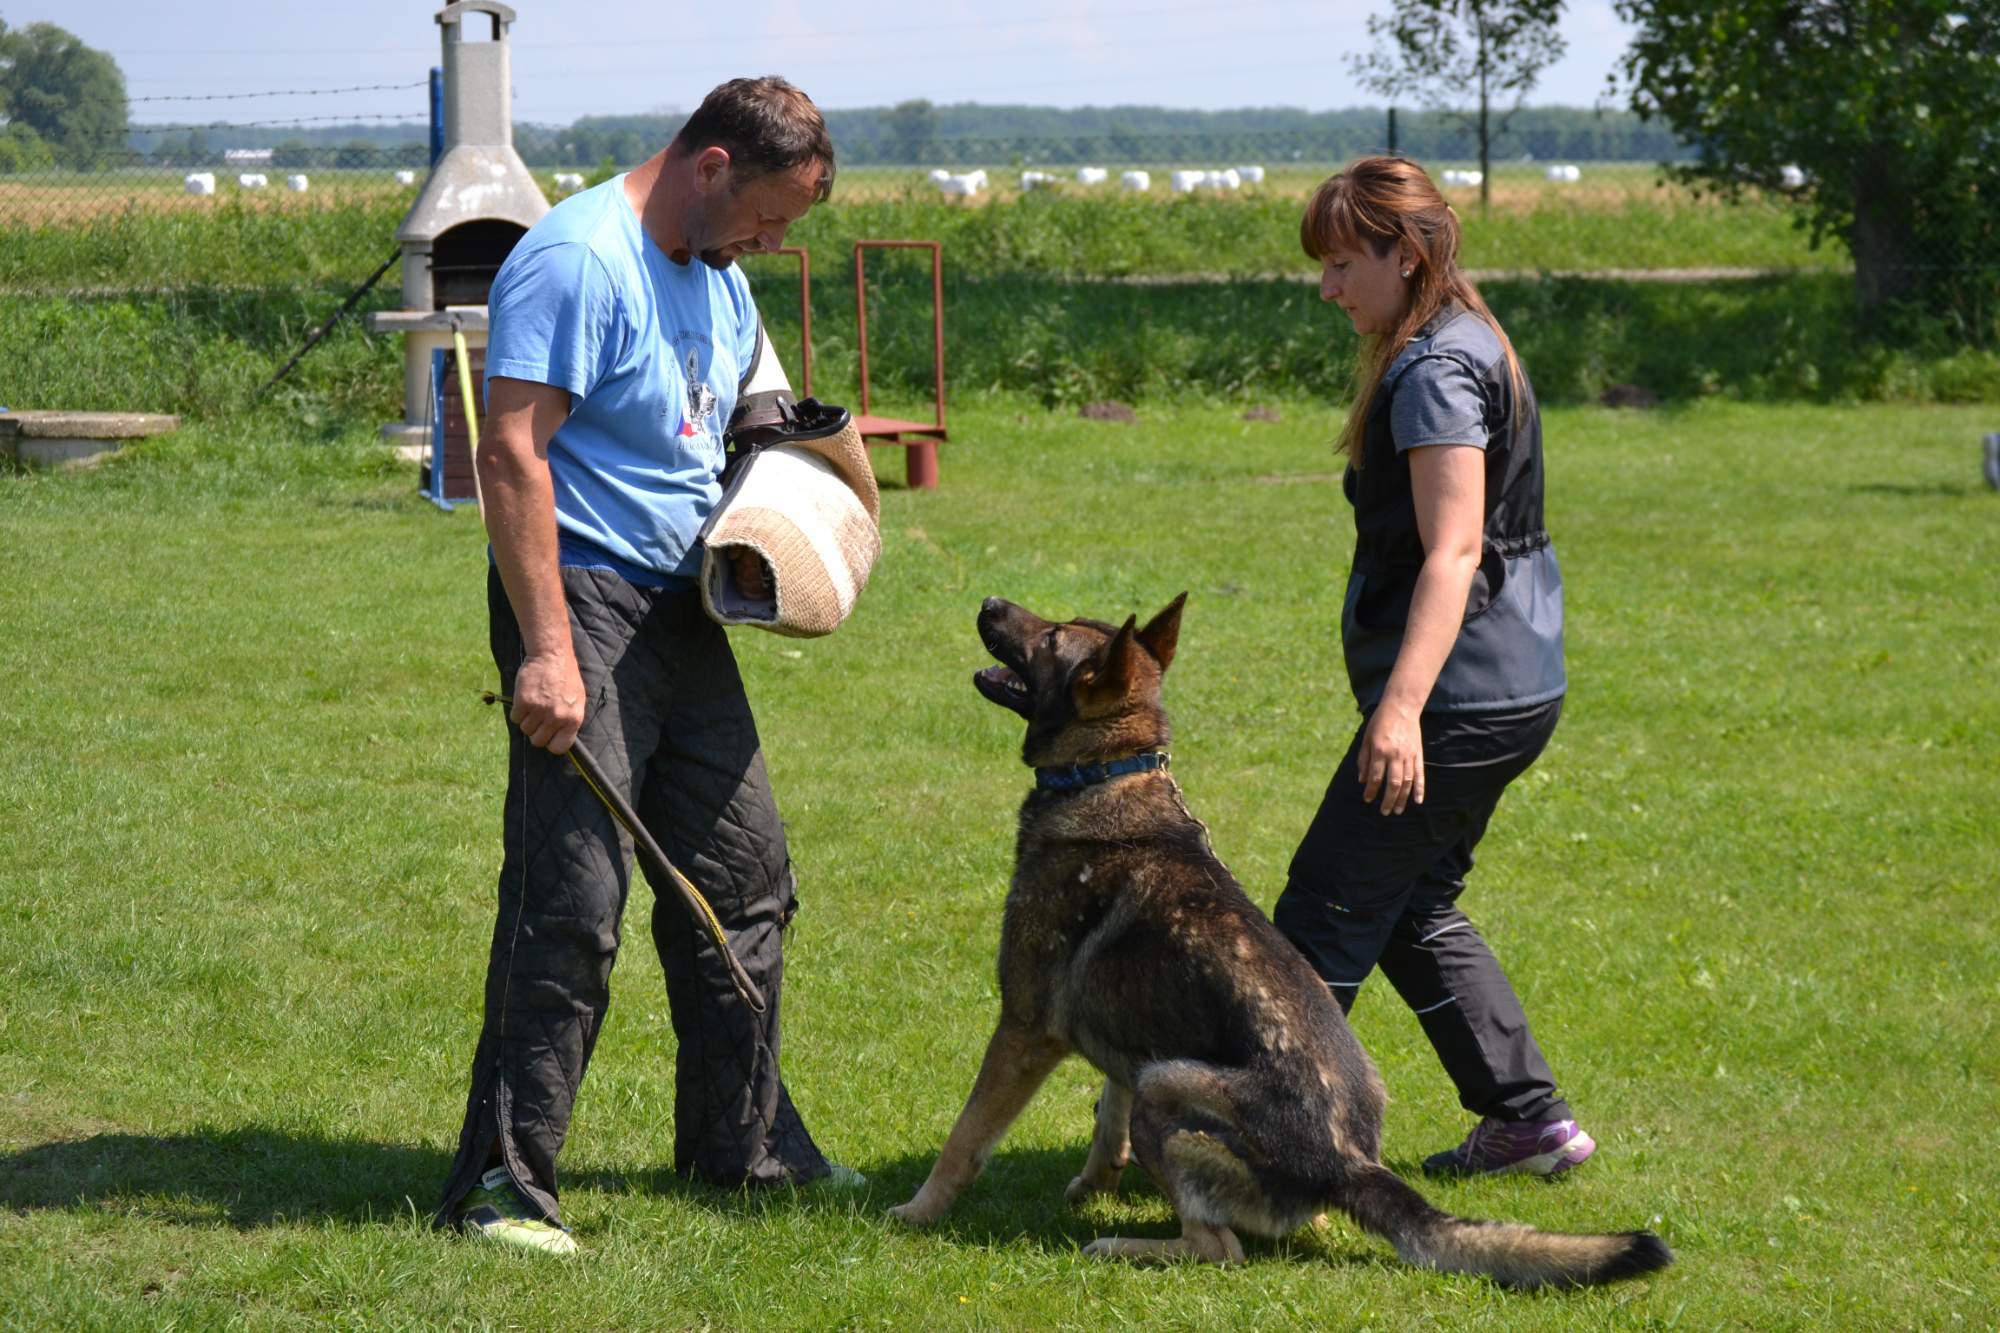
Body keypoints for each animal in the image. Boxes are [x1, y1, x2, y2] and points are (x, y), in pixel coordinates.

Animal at [887, 593, 1673, 1288]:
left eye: (1050, 636)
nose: (990, 602)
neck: (1109, 774)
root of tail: (1349, 1163)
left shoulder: (1024, 1029)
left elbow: (966, 1136)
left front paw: (918, 1211)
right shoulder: (1129, 1035)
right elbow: (1107, 1116)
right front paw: (1093, 1180)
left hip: (1167, 1085)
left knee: (1220, 1249)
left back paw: (1123, 1245)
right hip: (1169, 1073)